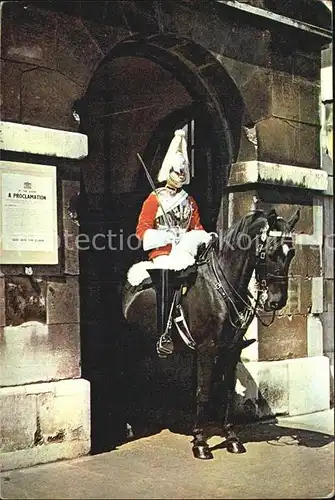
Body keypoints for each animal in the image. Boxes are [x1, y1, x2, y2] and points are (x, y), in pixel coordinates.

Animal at [122, 208, 300, 460]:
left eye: (291, 253)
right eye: (271, 252)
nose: (277, 301)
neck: (222, 289)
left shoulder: (231, 350)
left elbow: (227, 392)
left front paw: (232, 438)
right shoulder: (207, 349)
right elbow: (203, 392)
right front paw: (200, 441)